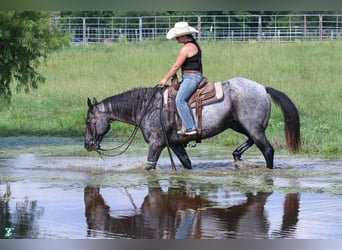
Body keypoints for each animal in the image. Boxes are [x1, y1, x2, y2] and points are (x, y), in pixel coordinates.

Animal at [84, 76, 300, 170]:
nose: (87, 144)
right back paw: (237, 155)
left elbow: (149, 166)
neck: (148, 107)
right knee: (251, 140)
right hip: (240, 125)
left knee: (268, 151)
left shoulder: (155, 144)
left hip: (252, 127)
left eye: (88, 121)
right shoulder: (175, 144)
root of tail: (262, 88)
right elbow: (186, 163)